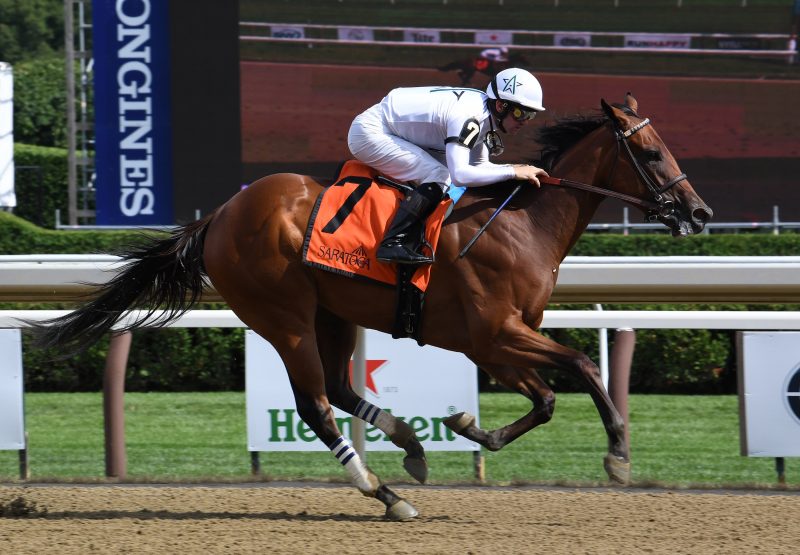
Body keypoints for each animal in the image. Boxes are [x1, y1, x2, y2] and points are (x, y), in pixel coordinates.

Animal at [28, 94, 712, 520]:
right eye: (652, 154)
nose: (700, 212)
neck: (521, 223)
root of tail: (219, 215)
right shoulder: (495, 332)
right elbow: (582, 366)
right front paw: (618, 456)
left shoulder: (494, 340)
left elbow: (543, 399)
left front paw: (469, 427)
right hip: (283, 316)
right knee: (315, 404)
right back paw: (383, 493)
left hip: (331, 313)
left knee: (337, 385)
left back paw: (409, 445)